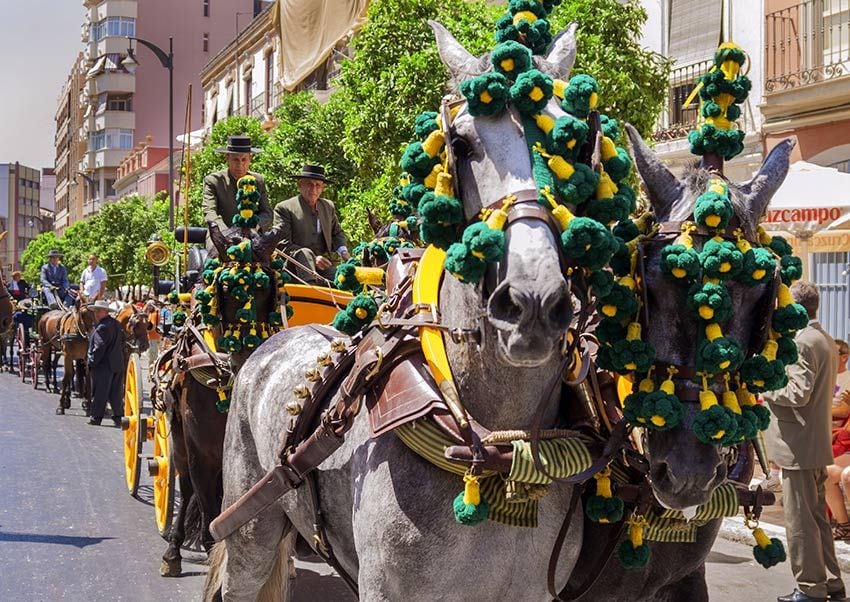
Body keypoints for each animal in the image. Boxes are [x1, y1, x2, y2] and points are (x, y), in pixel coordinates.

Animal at [204, 19, 584, 600]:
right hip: (251, 526)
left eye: (575, 138)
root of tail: (267, 345)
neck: (492, 447)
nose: (534, 303)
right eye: (460, 143)